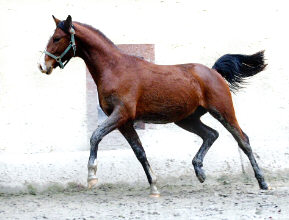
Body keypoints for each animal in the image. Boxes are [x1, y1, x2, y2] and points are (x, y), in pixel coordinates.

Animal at [38, 15, 268, 196]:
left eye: (57, 38)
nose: (43, 66)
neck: (115, 69)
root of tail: (214, 71)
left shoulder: (121, 114)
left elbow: (95, 136)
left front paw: (91, 176)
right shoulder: (124, 122)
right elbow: (139, 152)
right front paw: (154, 187)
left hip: (222, 111)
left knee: (243, 140)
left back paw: (263, 182)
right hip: (187, 119)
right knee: (211, 134)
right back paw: (200, 171)